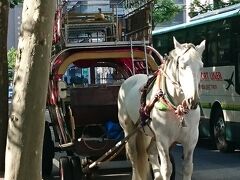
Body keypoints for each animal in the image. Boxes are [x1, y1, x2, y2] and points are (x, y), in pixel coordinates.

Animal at [117, 37, 205, 180]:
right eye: (182, 66)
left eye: (201, 66)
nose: (192, 100)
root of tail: (129, 79)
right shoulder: (163, 140)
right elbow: (167, 169)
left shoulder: (191, 139)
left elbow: (187, 168)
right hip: (129, 129)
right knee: (133, 155)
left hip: (153, 135)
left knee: (151, 152)